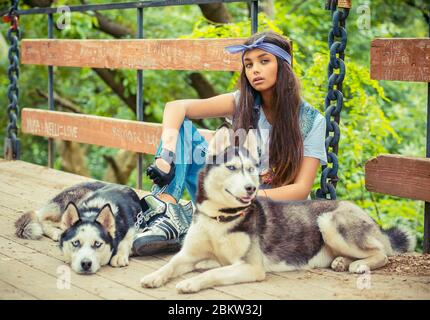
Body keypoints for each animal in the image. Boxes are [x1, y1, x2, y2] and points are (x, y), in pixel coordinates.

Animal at [139, 125, 414, 292]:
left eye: (251, 169)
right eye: (232, 168)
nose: (251, 188)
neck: (221, 219)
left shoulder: (250, 267)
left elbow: (213, 273)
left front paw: (192, 282)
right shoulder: (188, 255)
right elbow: (170, 264)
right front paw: (154, 277)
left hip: (328, 221)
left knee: (383, 253)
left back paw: (359, 264)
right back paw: (341, 262)